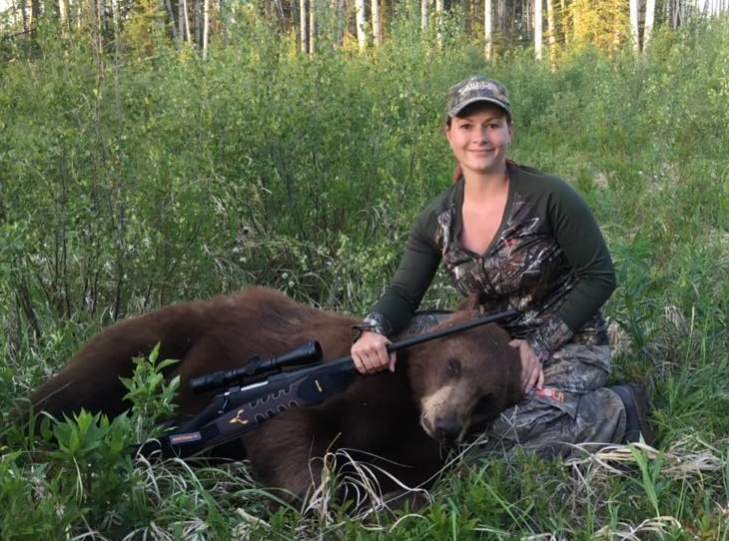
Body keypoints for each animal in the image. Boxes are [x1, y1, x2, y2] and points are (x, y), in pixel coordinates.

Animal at [27, 288, 516, 500]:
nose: (446, 424)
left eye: (488, 398)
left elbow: (404, 481)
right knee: (83, 380)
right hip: (165, 339)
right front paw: (322, 496)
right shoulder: (328, 378)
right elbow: (287, 431)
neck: (404, 403)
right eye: (454, 363)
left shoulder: (414, 447)